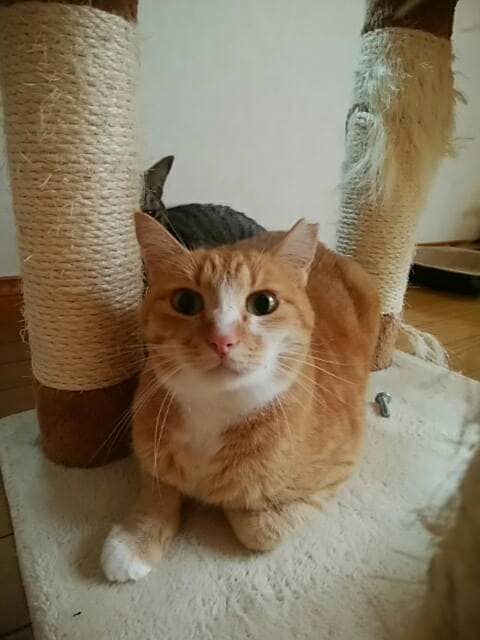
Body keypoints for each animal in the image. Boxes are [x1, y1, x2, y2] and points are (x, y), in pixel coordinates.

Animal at [101, 212, 379, 582]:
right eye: (185, 302)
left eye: (263, 303)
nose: (222, 340)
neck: (214, 413)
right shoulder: (151, 450)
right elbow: (158, 491)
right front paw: (135, 541)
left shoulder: (335, 473)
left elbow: (254, 523)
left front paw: (225, 500)